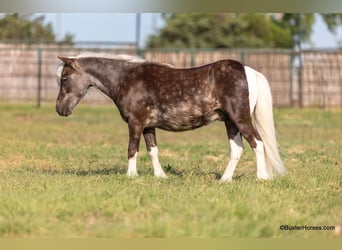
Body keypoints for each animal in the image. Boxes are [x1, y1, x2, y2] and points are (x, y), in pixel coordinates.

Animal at [56, 53, 284, 182]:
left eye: (64, 78)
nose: (60, 109)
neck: (126, 79)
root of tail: (248, 71)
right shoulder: (148, 126)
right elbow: (152, 150)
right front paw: (160, 176)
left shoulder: (135, 123)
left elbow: (132, 149)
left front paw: (131, 176)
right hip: (230, 122)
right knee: (237, 149)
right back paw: (225, 180)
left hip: (240, 119)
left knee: (258, 144)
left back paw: (261, 178)